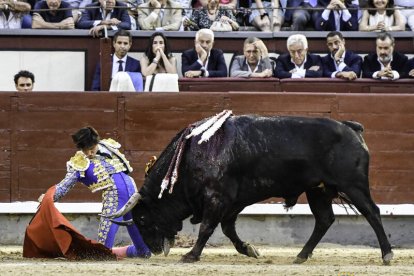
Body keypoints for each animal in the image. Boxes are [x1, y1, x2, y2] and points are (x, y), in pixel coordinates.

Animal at [117, 115, 394, 264]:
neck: (191, 154)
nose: (152, 250)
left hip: (353, 185)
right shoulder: (232, 202)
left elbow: (207, 228)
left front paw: (191, 255)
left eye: (142, 219)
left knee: (372, 212)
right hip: (318, 191)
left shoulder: (217, 198)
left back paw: (387, 254)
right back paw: (301, 255)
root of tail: (352, 128)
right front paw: (249, 250)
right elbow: (228, 229)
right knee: (324, 219)